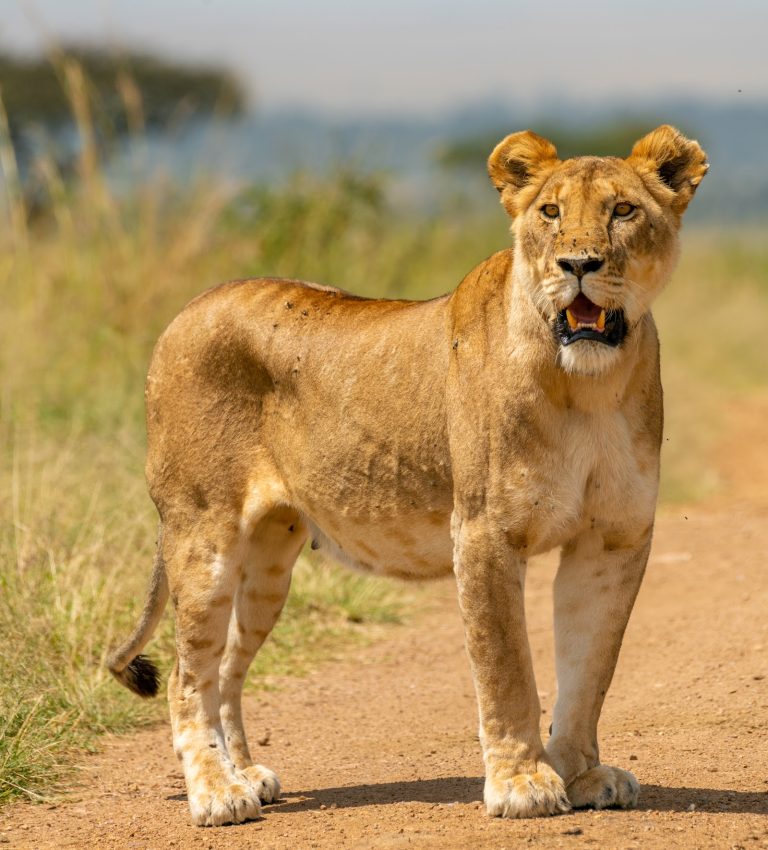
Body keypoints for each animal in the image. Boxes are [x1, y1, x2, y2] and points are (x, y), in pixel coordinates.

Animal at [108, 125, 707, 826]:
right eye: (550, 213)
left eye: (624, 211)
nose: (578, 265)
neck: (589, 385)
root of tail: (184, 312)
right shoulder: (484, 532)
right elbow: (507, 667)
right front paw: (522, 783)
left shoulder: (613, 537)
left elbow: (590, 666)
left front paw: (582, 773)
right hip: (203, 533)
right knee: (185, 675)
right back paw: (216, 793)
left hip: (267, 561)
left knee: (225, 667)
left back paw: (246, 774)